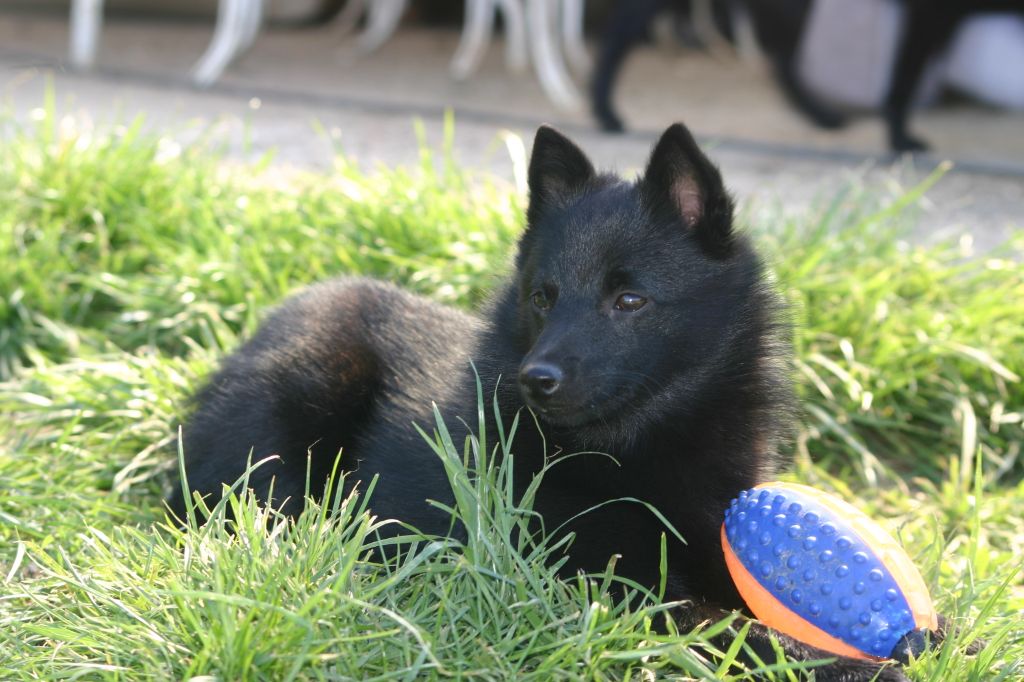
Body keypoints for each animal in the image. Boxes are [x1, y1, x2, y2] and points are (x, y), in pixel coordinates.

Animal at [174, 125, 929, 675]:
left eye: (630, 300)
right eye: (543, 296)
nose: (535, 379)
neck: (634, 449)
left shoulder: (712, 539)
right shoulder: (612, 586)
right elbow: (733, 628)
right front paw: (851, 662)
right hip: (301, 408)